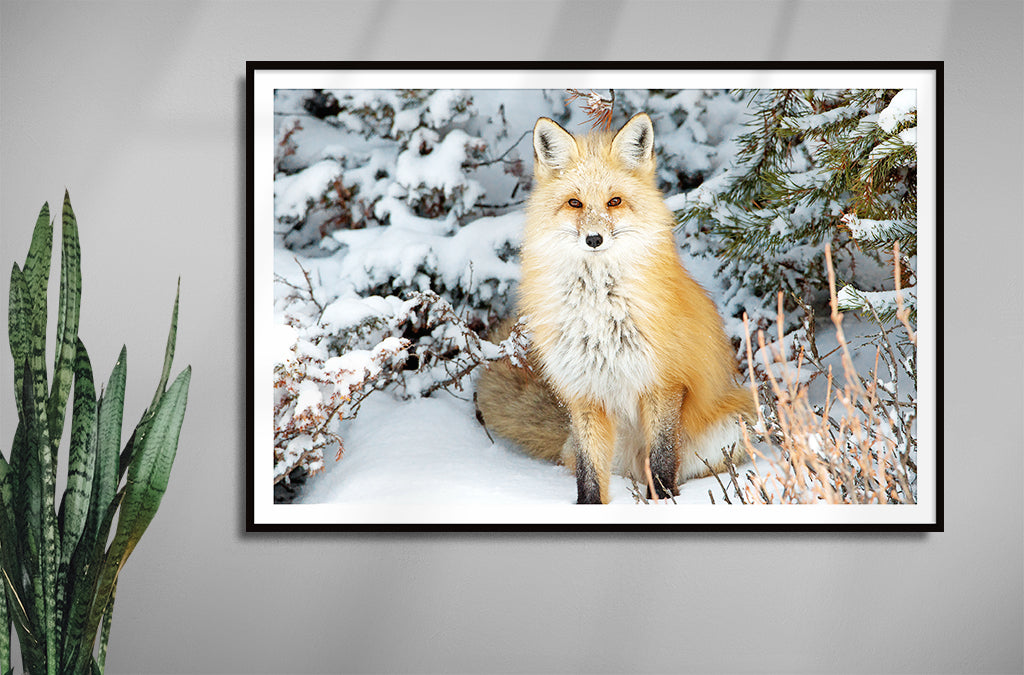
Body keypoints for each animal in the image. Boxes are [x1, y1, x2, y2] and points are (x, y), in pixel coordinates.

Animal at [476, 112, 756, 504]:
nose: (594, 239)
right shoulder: (583, 393)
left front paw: (665, 501)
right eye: (575, 203)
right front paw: (590, 507)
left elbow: (662, 457)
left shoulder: (664, 383)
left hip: (733, 426)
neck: (599, 309)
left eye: (614, 202)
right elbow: (589, 470)